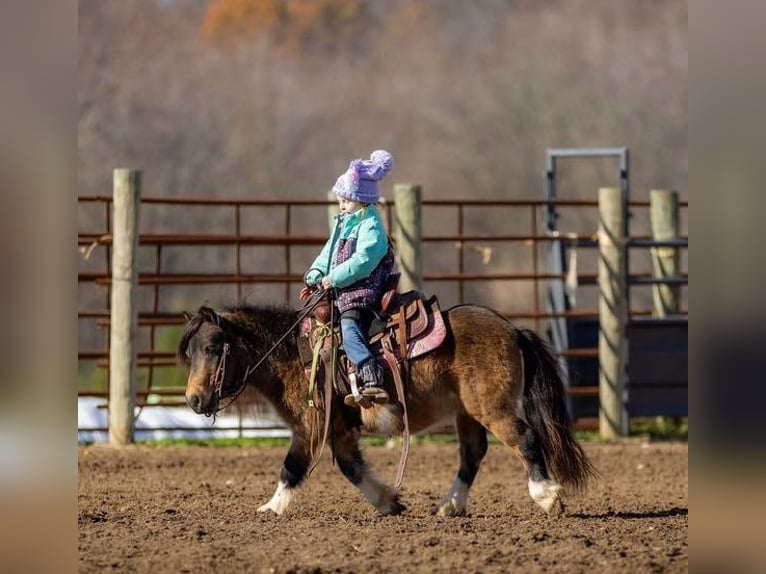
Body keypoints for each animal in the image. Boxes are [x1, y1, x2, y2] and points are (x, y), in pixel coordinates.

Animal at [177, 304, 596, 520]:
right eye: (191, 350)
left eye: (213, 347)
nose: (194, 400)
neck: (296, 355)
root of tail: (513, 330)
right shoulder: (339, 431)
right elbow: (352, 468)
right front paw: (388, 501)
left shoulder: (311, 426)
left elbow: (291, 468)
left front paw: (271, 508)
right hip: (467, 413)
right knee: (472, 454)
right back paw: (450, 505)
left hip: (493, 409)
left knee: (525, 439)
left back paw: (547, 496)